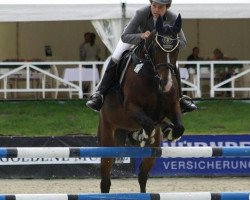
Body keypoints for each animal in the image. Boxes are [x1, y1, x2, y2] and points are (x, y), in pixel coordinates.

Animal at [98, 14, 185, 194]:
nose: (166, 84)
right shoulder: (131, 108)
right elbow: (148, 123)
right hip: (107, 135)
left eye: (176, 49)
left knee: (142, 176)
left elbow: (178, 126)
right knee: (105, 180)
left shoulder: (173, 105)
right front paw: (144, 135)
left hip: (153, 150)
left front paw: (170, 131)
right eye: (157, 49)